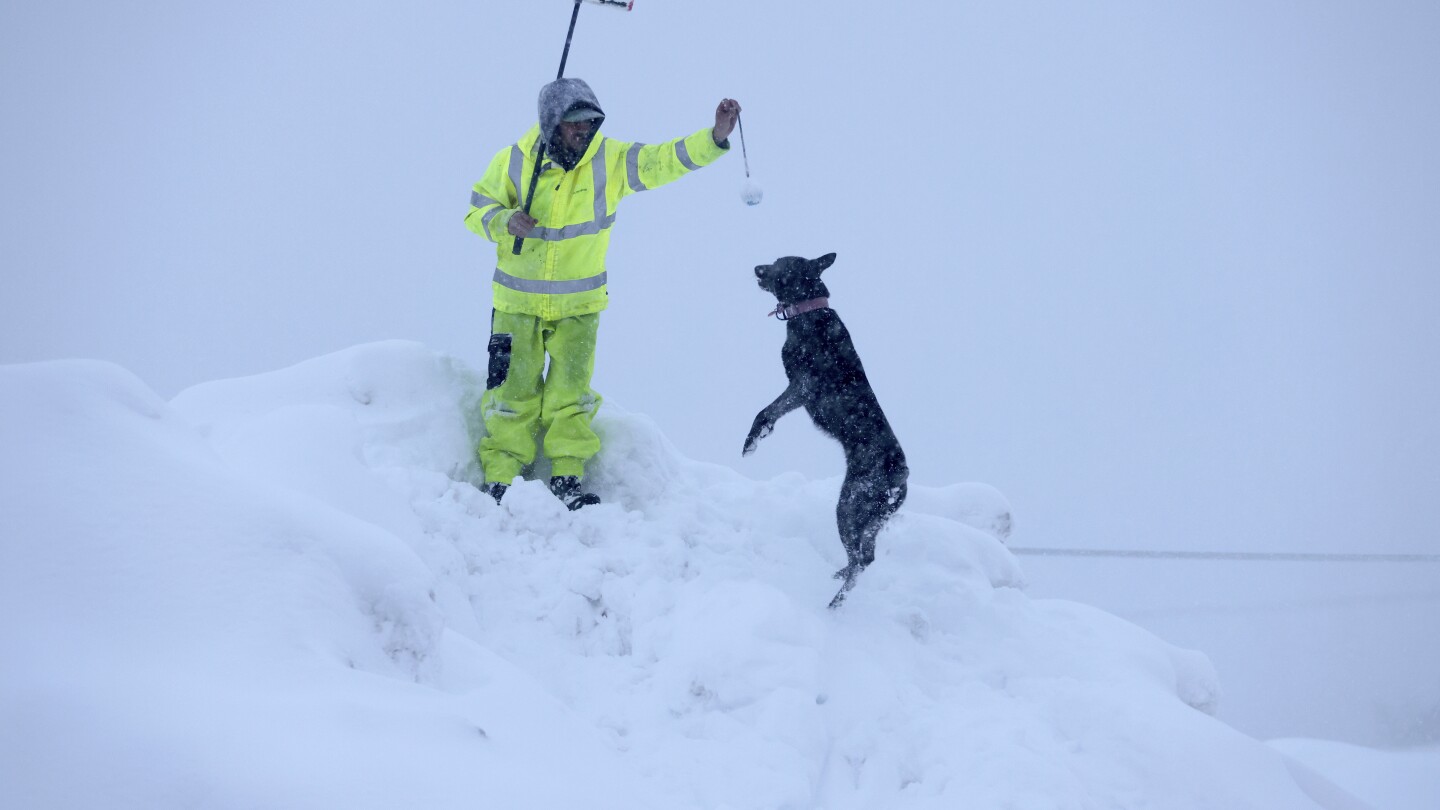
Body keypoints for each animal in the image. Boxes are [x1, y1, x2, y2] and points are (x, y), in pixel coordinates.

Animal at [748, 252, 904, 605]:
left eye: (780, 263)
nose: (756, 269)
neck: (809, 311)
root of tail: (901, 477)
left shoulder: (803, 386)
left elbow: (765, 411)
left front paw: (753, 440)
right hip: (870, 517)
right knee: (863, 557)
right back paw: (839, 579)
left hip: (850, 504)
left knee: (862, 559)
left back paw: (835, 603)